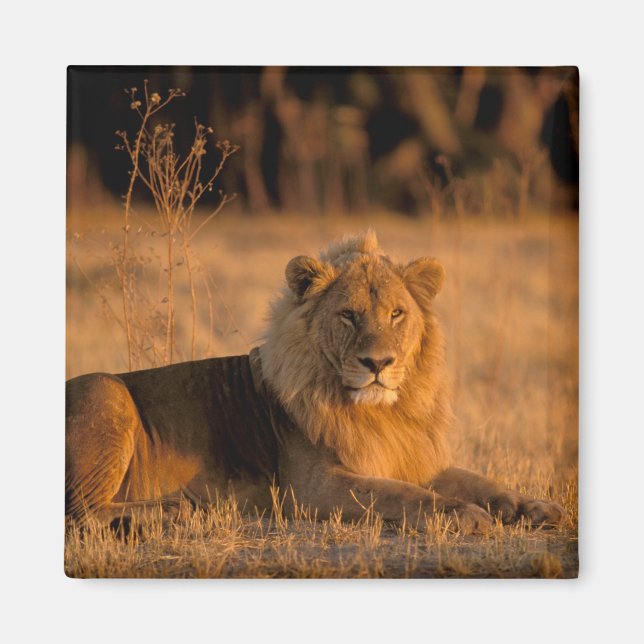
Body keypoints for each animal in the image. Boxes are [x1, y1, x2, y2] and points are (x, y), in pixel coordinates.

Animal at [66, 229, 564, 534]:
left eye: (396, 314)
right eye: (348, 315)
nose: (377, 363)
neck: (383, 413)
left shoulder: (410, 456)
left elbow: (480, 480)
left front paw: (534, 507)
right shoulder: (311, 488)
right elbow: (401, 495)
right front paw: (462, 514)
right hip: (106, 391)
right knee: (79, 513)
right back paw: (172, 512)